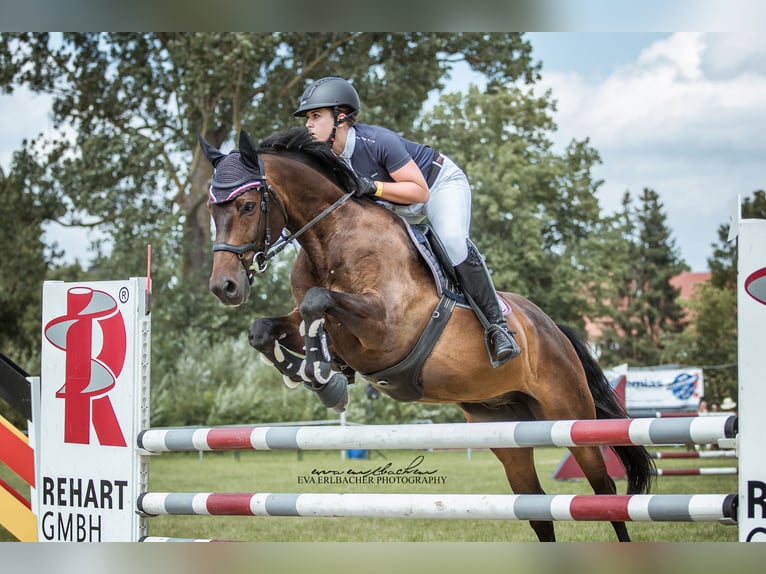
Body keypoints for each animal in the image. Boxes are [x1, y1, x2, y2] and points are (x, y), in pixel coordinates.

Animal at [201, 127, 655, 542]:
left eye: (246, 205)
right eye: (212, 209)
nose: (225, 287)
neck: (329, 240)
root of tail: (550, 327)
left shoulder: (386, 327)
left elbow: (317, 302)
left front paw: (325, 380)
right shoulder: (313, 323)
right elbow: (265, 329)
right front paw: (321, 378)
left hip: (570, 414)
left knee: (604, 491)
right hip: (502, 423)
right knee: (536, 507)